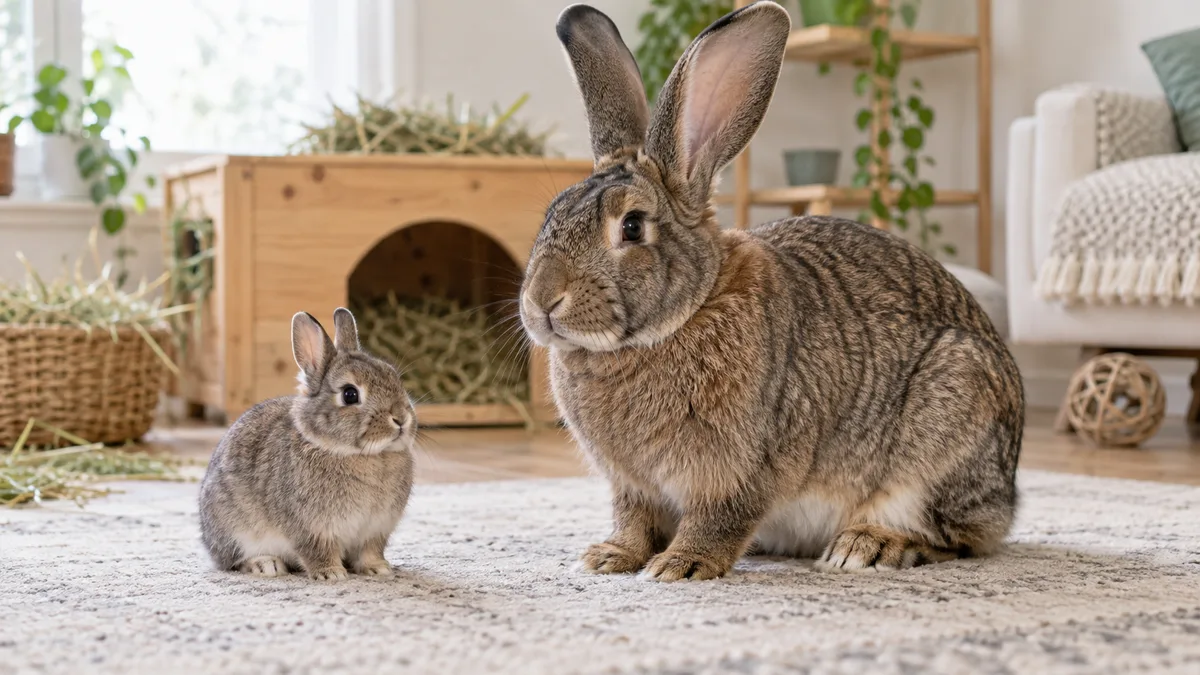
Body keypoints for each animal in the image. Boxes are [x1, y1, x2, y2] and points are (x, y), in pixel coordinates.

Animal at [198, 308, 416, 580]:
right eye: (350, 394)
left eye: (392, 375)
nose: (401, 419)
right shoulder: (312, 529)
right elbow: (317, 550)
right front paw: (331, 574)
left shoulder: (375, 530)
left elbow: (370, 551)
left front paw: (378, 569)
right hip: (234, 531)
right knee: (234, 561)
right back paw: (267, 565)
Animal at [518, 2, 1024, 582]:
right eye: (552, 213)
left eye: (632, 227)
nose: (541, 301)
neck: (683, 314)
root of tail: (1009, 493)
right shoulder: (633, 486)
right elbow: (635, 520)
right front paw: (610, 557)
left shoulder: (744, 468)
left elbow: (719, 518)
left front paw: (682, 565)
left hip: (948, 423)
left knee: (958, 537)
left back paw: (868, 546)